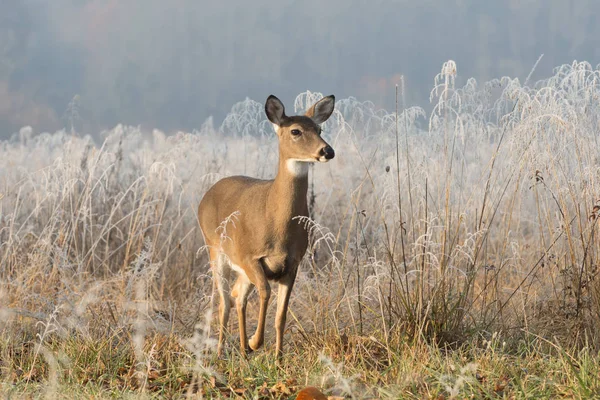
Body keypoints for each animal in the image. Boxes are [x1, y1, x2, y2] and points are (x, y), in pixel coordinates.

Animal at [198, 93, 336, 360]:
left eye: (319, 129)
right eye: (295, 131)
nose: (327, 150)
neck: (276, 223)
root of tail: (207, 195)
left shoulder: (292, 263)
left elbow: (281, 315)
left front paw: (277, 357)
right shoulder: (250, 256)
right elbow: (265, 293)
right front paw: (255, 342)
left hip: (239, 267)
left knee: (237, 296)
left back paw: (241, 350)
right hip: (215, 249)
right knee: (224, 301)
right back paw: (221, 351)